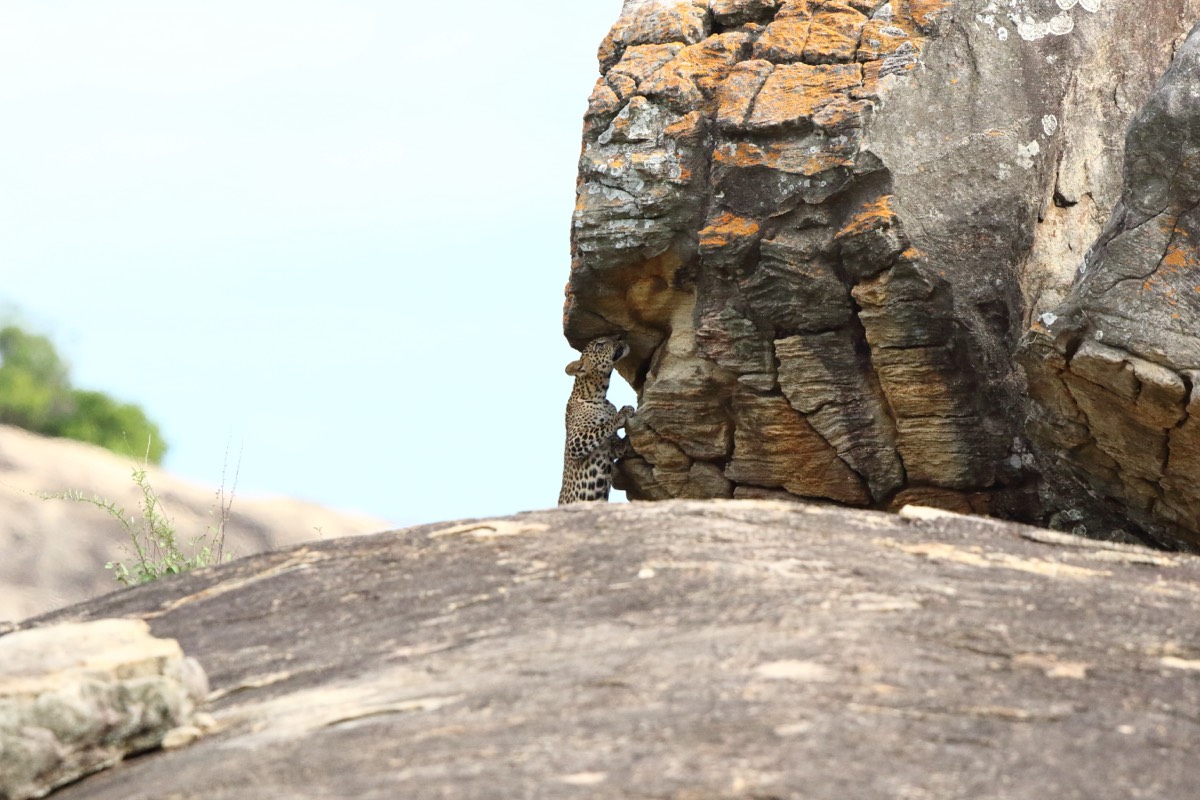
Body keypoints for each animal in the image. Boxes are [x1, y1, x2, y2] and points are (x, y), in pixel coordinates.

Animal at [558, 335, 635, 505]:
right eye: (599, 345)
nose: (620, 337)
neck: (599, 394)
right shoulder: (574, 443)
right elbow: (600, 427)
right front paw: (622, 413)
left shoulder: (613, 448)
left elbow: (618, 444)